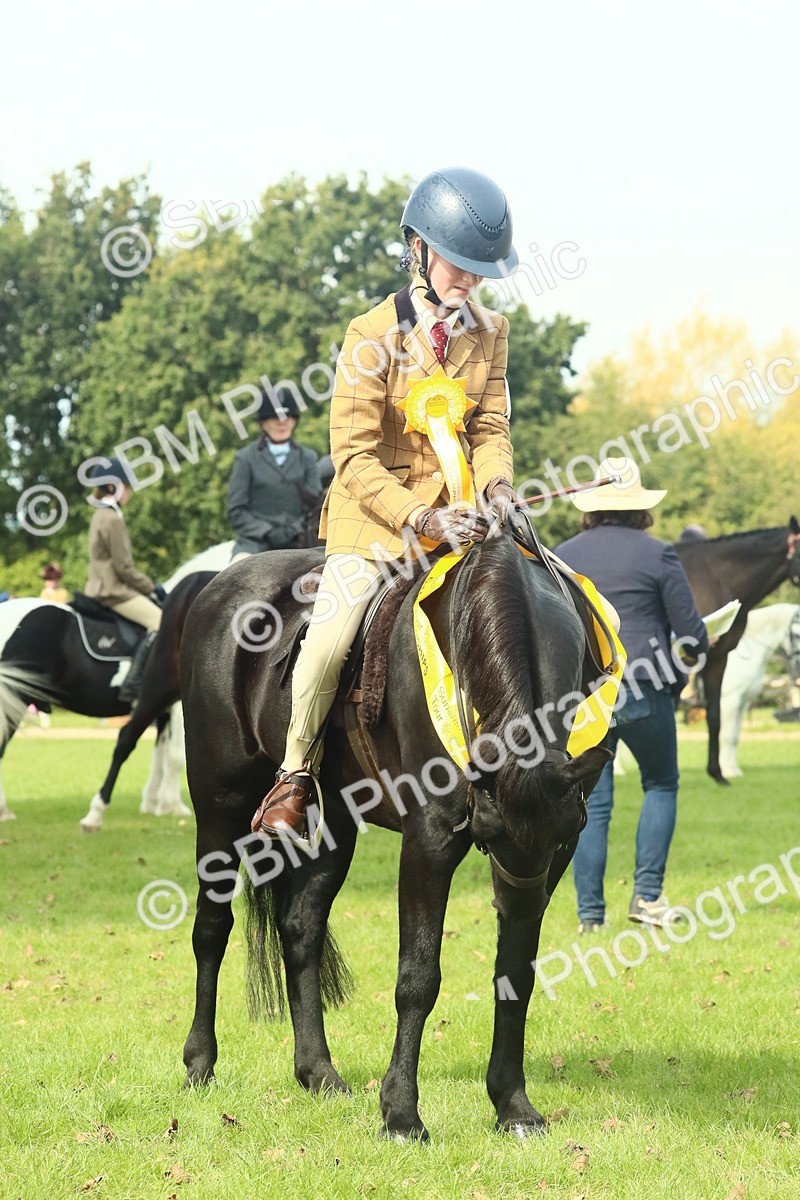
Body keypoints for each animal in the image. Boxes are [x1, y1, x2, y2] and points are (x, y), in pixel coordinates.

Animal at [0, 542, 235, 824]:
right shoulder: (175, 704)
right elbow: (175, 754)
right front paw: (172, 805)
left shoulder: (163, 708)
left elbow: (159, 754)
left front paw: (153, 804)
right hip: (14, 697)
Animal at [179, 526, 611, 1140]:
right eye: (487, 831)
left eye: (560, 836)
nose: (516, 902)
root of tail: (219, 587)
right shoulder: (429, 841)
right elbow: (418, 977)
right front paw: (402, 1114)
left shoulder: (553, 856)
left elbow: (515, 974)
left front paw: (513, 1105)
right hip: (220, 805)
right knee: (212, 929)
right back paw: (199, 1062)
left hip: (333, 822)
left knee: (301, 929)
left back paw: (318, 1072)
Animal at [719, 603, 800, 779]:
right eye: (797, 634)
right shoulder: (729, 701)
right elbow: (727, 735)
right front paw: (726, 771)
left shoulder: (742, 703)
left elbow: (735, 736)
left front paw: (734, 770)